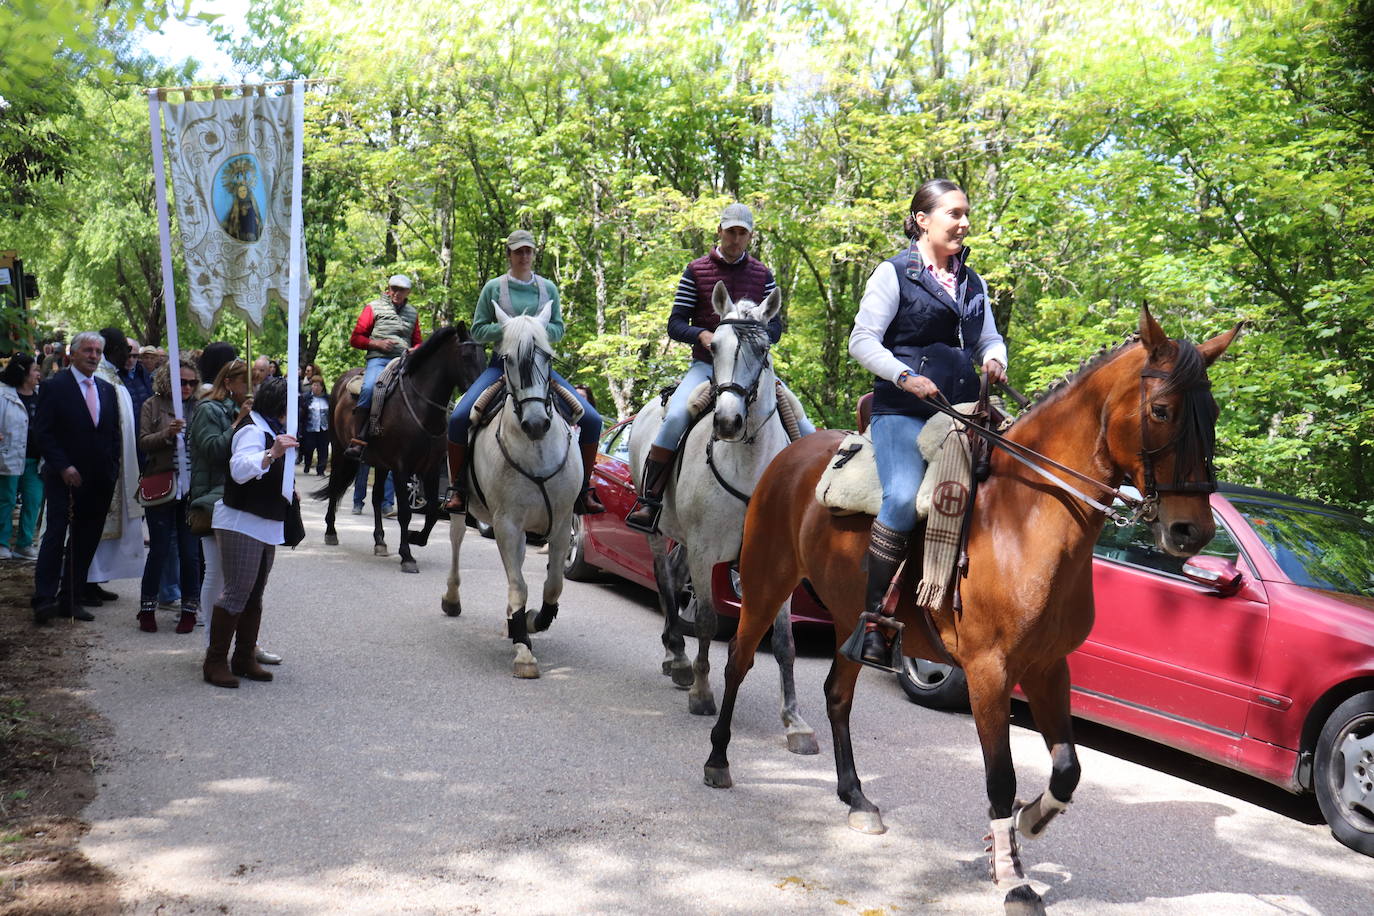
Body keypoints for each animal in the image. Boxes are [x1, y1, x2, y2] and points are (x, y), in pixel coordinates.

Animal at [314, 325, 486, 574]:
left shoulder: (430, 469)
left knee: (376, 498)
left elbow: (432, 511)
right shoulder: (401, 467)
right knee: (336, 486)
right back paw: (331, 532)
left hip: (378, 463)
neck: (420, 407)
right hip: (339, 451)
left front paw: (417, 538)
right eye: (466, 356)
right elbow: (405, 511)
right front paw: (407, 556)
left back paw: (380, 541)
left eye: (484, 356)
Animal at [442, 306, 582, 681]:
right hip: (463, 510)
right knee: (458, 541)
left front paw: (533, 621)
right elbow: (519, 584)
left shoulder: (561, 524)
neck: (536, 450)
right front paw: (523, 650)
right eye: (507, 360)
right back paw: (452, 598)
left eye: (547, 356)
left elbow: (553, 584)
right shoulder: (506, 524)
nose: (535, 424)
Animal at [629, 282, 813, 758]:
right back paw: (678, 657)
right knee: (664, 578)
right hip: (660, 531)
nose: (728, 421)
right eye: (716, 348)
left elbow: (784, 642)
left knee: (675, 578)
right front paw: (702, 691)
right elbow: (709, 622)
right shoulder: (706, 552)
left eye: (763, 350)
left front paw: (795, 721)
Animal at [703, 306, 1242, 911]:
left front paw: (1029, 823)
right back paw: (718, 761)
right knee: (739, 662)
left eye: (1212, 413)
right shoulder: (990, 671)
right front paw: (1013, 877)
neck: (1025, 517)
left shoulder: (1048, 666)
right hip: (766, 584)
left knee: (838, 695)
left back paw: (857, 799)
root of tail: (790, 455)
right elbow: (1001, 777)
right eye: (1161, 410)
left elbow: (1067, 769)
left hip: (848, 618)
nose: (1191, 531)